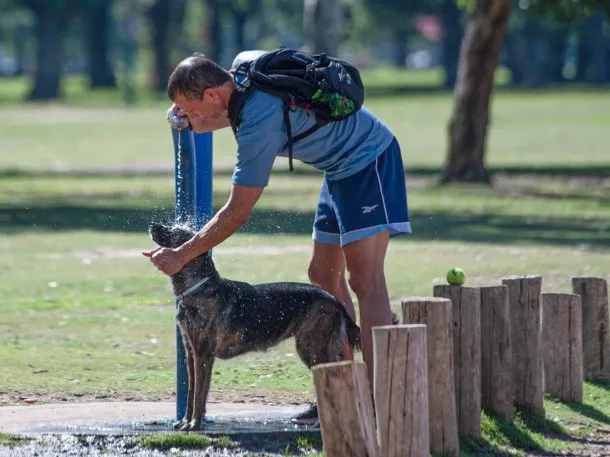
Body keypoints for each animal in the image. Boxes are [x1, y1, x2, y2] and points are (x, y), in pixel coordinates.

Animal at [148, 222, 360, 432]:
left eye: (176, 232)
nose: (152, 224)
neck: (199, 288)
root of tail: (334, 300)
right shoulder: (191, 353)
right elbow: (192, 392)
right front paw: (185, 421)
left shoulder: (203, 355)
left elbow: (200, 393)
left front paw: (195, 424)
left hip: (312, 349)